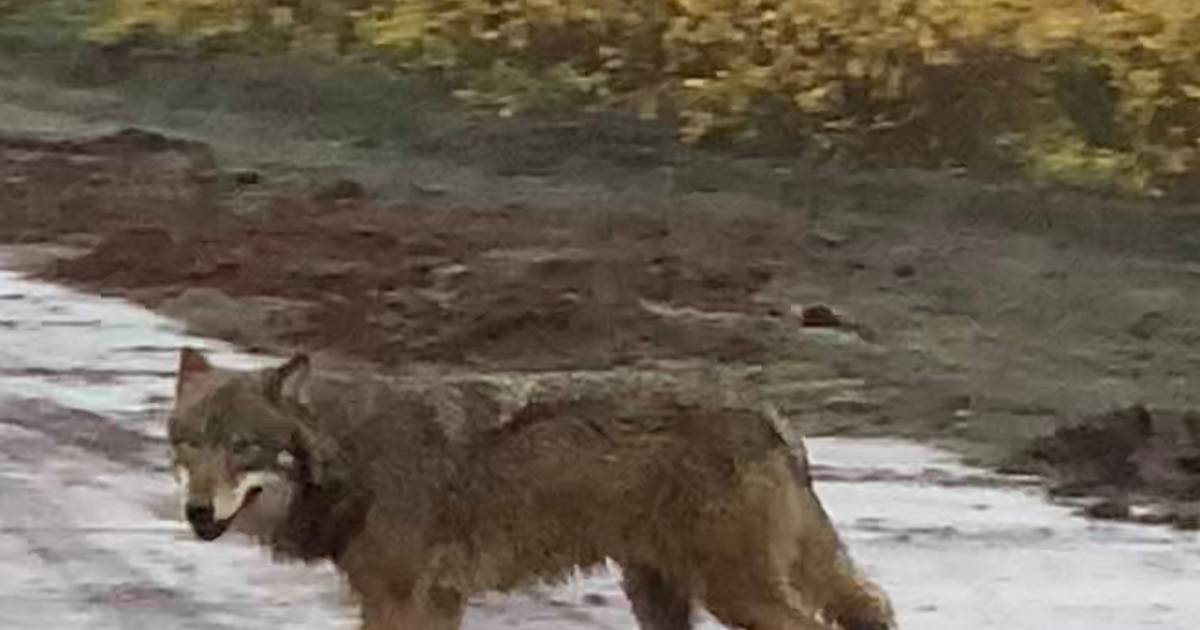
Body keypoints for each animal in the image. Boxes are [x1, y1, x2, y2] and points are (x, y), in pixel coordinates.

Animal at [171, 348, 902, 628]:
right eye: (187, 444)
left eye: (242, 447)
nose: (197, 512)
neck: (353, 456)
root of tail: (772, 414)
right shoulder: (433, 602)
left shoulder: (403, 599)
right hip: (660, 592)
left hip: (733, 592)